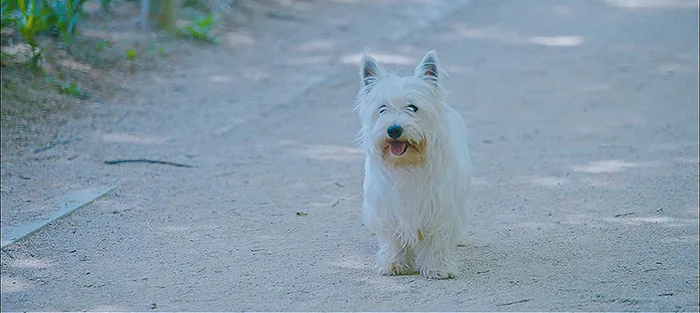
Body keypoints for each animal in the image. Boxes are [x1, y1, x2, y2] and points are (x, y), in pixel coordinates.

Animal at [356, 50, 476, 280]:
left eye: (413, 108)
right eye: (382, 109)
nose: (393, 129)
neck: (407, 165)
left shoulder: (440, 205)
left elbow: (438, 238)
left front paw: (438, 268)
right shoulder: (389, 209)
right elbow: (394, 240)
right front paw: (395, 264)